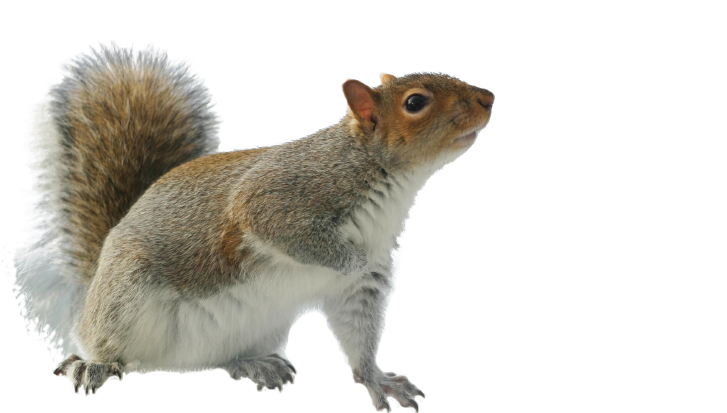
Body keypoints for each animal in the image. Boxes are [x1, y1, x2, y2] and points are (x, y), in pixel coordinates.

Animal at [12, 39, 495, 412]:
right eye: (415, 103)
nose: (488, 98)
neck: (384, 177)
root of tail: (95, 282)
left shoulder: (359, 288)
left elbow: (358, 331)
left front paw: (375, 378)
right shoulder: (280, 197)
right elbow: (283, 229)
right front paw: (346, 258)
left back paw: (252, 364)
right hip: (125, 295)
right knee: (108, 345)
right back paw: (91, 365)